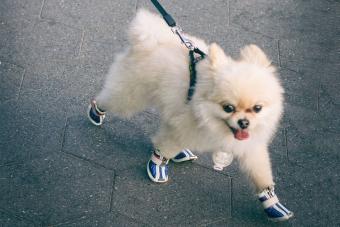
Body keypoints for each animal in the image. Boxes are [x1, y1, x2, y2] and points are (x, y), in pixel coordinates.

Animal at [87, 9, 292, 221]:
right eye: (228, 107)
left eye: (257, 108)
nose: (244, 122)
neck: (215, 124)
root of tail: (146, 37)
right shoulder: (183, 127)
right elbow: (165, 147)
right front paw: (158, 166)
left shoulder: (250, 147)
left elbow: (261, 174)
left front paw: (272, 203)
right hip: (131, 94)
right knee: (111, 100)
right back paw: (96, 112)